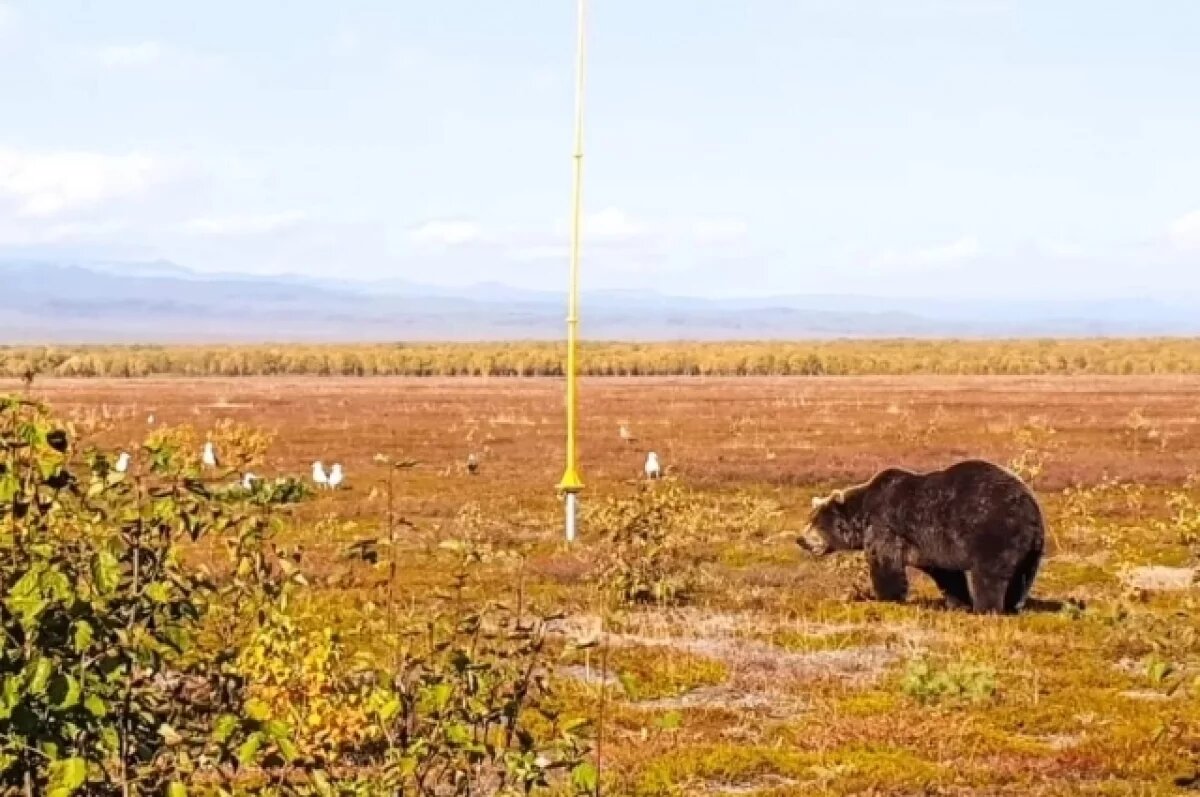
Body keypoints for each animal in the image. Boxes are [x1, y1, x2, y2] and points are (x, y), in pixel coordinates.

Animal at [801, 458, 1046, 612]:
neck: (861, 515)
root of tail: (1029, 509)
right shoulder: (933, 545)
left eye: (816, 522)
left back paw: (987, 608)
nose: (800, 540)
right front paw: (958, 602)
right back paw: (1013, 605)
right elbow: (946, 574)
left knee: (988, 575)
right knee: (1022, 576)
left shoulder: (886, 525)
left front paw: (886, 597)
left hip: (992, 532)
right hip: (1030, 549)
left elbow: (885, 563)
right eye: (809, 519)